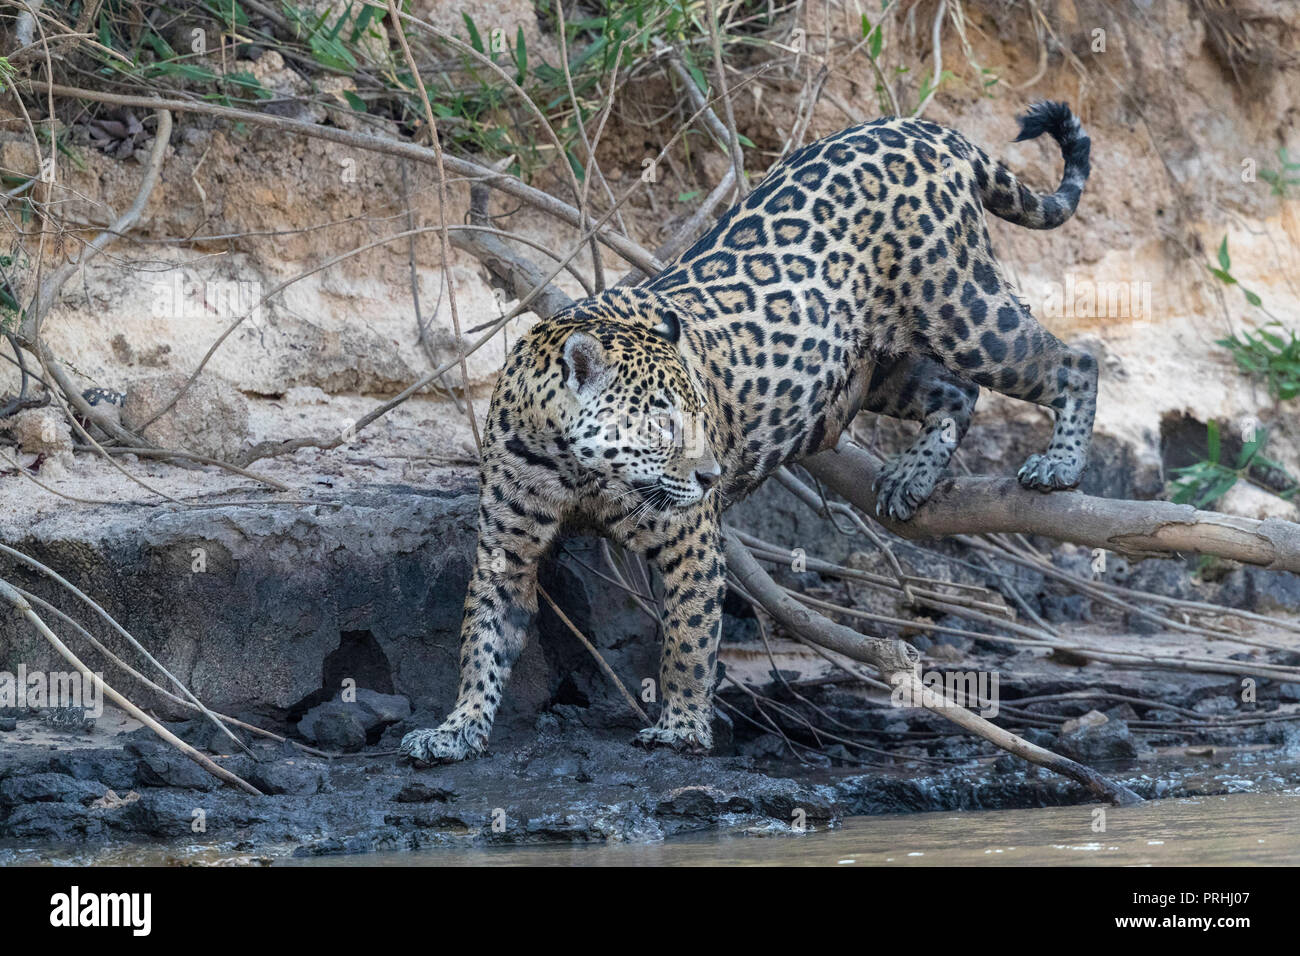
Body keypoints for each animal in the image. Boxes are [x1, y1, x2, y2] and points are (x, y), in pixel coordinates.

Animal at [401, 101, 1095, 762]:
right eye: (661, 421)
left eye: (699, 414)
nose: (712, 476)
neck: (573, 465)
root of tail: (923, 127)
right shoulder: (504, 549)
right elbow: (481, 640)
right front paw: (456, 729)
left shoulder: (691, 544)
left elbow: (687, 642)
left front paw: (681, 727)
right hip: (872, 370)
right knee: (956, 392)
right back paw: (910, 477)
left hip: (963, 309)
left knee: (1072, 360)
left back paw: (1057, 466)